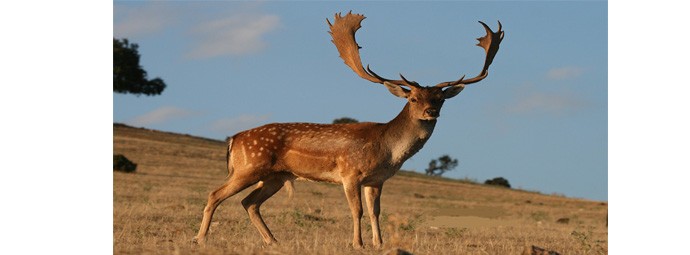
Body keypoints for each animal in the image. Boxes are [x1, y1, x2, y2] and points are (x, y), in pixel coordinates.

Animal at [191, 12, 502, 249]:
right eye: (414, 99)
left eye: (439, 99)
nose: (430, 112)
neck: (388, 150)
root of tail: (233, 139)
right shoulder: (350, 173)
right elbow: (358, 210)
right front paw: (357, 243)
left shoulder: (376, 180)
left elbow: (376, 212)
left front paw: (379, 243)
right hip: (249, 167)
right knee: (215, 194)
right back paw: (201, 238)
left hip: (275, 176)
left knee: (249, 203)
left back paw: (273, 241)